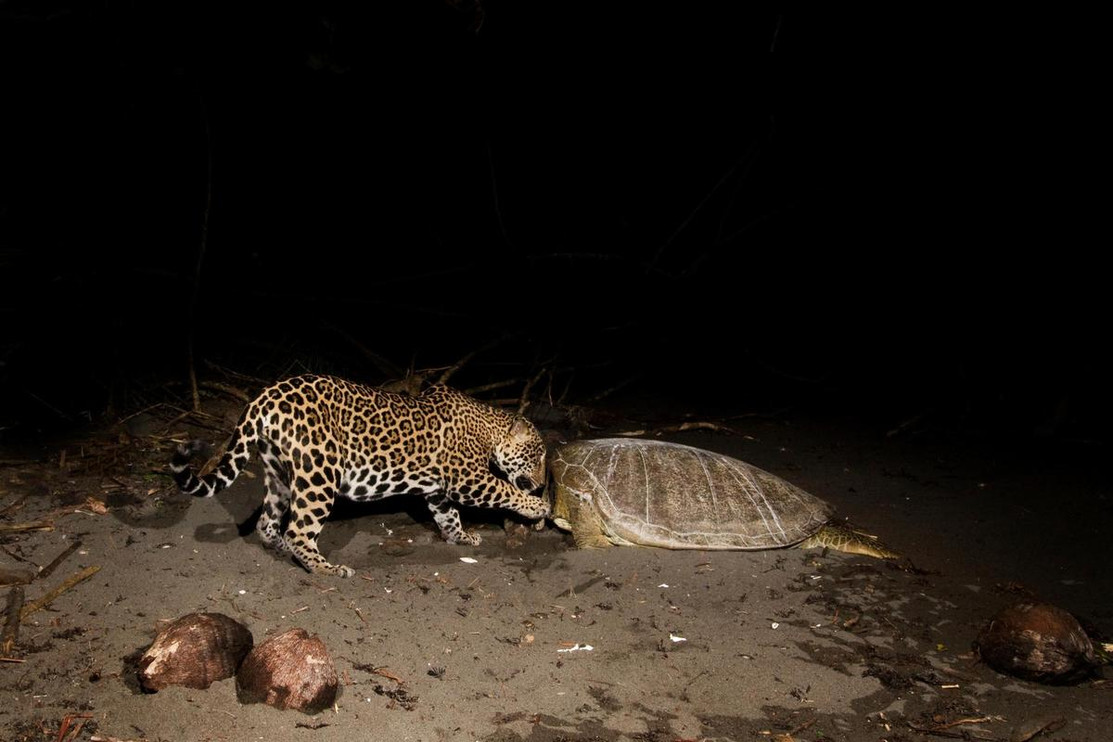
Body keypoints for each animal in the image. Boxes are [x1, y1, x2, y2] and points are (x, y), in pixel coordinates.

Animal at [170, 374, 549, 577]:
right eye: (537, 454)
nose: (544, 483)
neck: (489, 429)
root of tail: (263, 396)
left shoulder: (439, 489)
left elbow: (448, 516)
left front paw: (463, 537)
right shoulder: (468, 478)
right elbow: (503, 489)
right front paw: (536, 507)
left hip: (279, 471)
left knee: (268, 523)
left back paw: (280, 548)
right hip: (319, 473)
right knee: (299, 530)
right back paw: (327, 568)